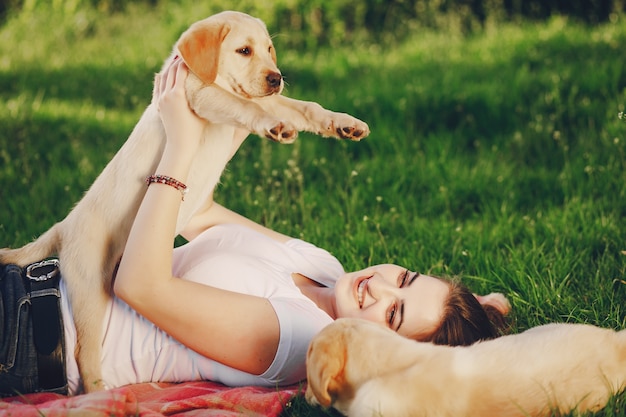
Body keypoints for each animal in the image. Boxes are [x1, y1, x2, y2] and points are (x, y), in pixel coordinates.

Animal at [0, 11, 366, 392]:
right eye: (244, 51)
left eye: (269, 50)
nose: (276, 78)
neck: (215, 79)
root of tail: (62, 227)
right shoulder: (200, 94)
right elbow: (244, 104)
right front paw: (272, 124)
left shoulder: (264, 98)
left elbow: (304, 106)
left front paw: (343, 123)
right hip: (89, 290)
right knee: (84, 357)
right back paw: (97, 394)